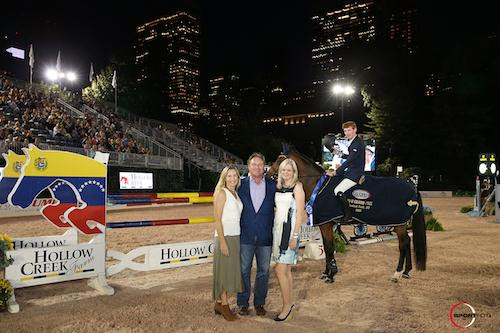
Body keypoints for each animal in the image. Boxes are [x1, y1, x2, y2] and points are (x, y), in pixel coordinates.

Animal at [268, 150, 428, 282]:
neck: (318, 185)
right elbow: (327, 247)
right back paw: (406, 272)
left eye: (280, 160)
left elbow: (329, 247)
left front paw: (331, 275)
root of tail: (412, 187)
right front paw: (326, 273)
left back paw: (397, 273)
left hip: (397, 223)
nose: (268, 174)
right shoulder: (325, 224)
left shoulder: (326, 224)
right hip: (400, 223)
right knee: (407, 241)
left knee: (403, 244)